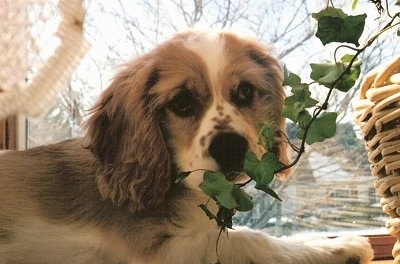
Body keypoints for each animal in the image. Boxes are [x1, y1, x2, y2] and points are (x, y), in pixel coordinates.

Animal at [0, 31, 376, 264]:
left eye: (245, 92)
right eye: (181, 102)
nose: (230, 148)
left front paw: (329, 242)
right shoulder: (156, 252)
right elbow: (250, 239)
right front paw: (339, 249)